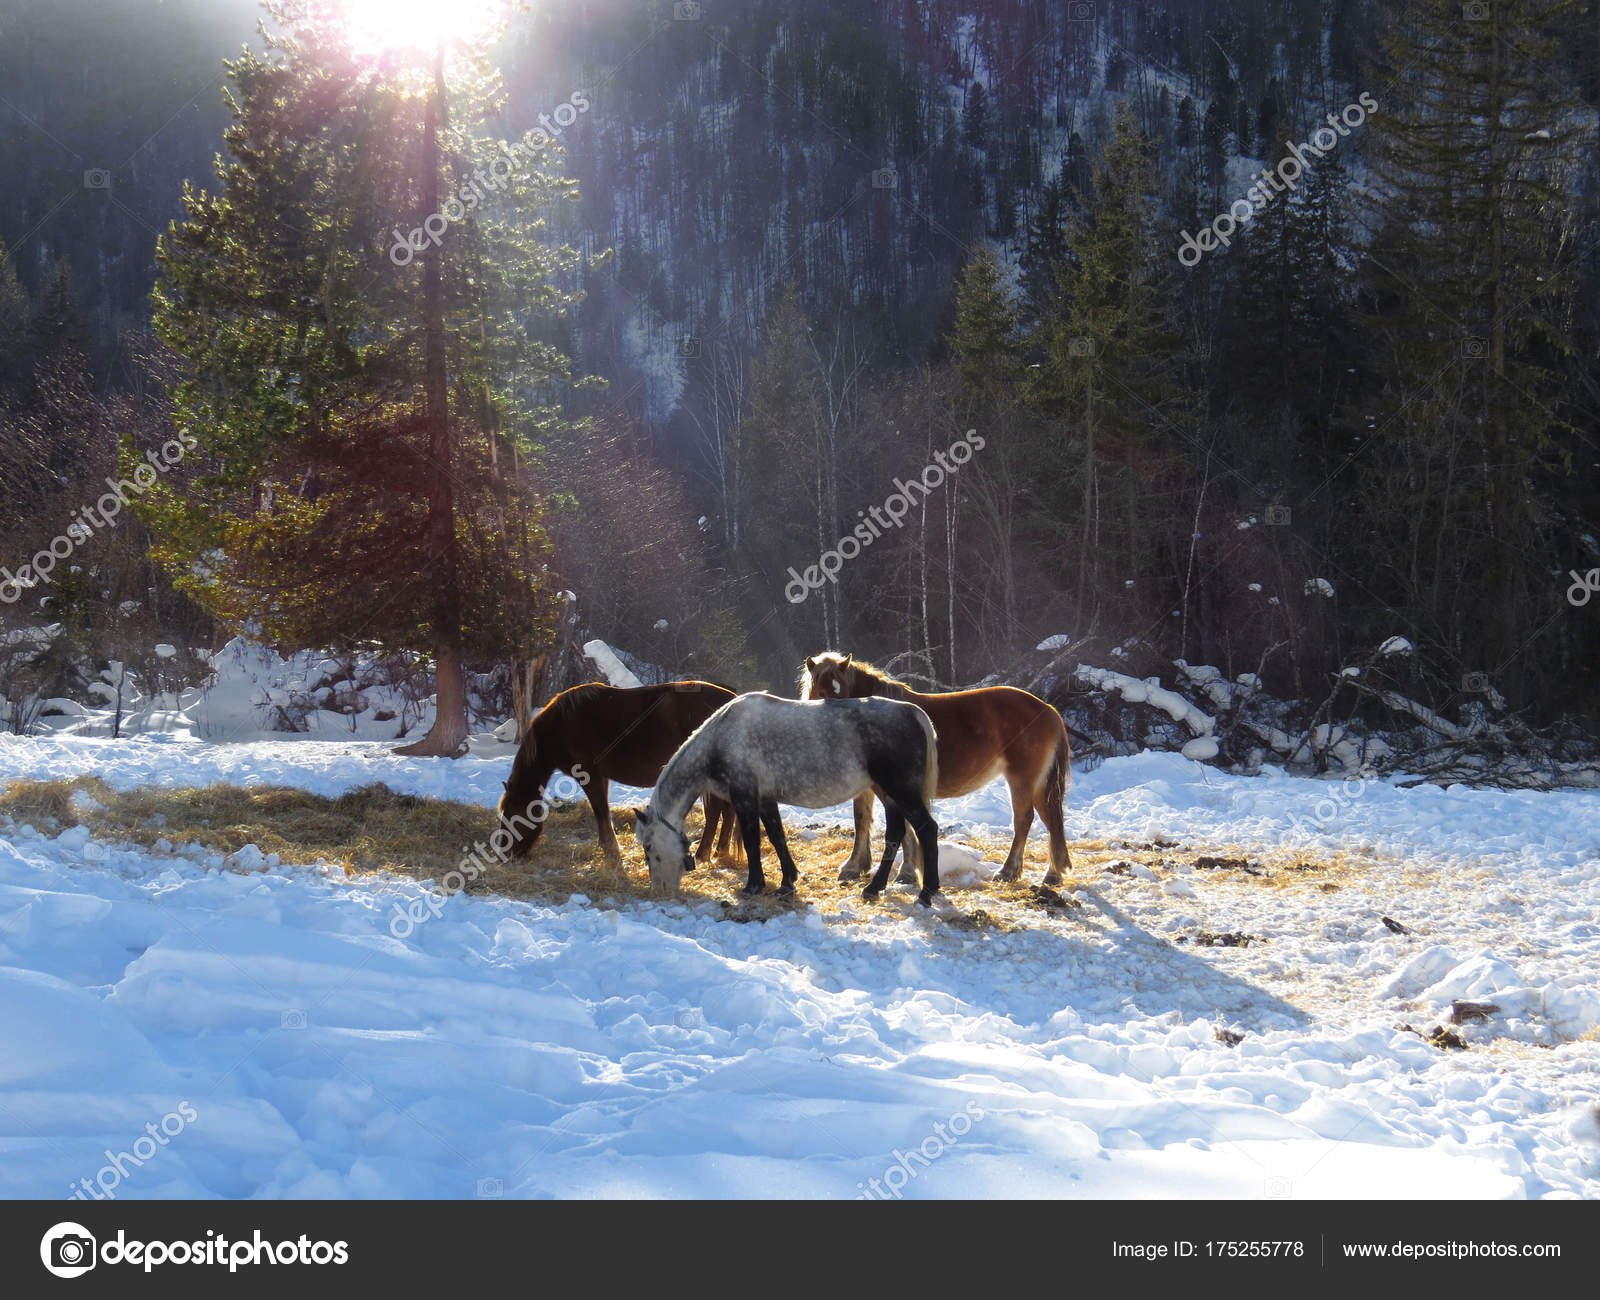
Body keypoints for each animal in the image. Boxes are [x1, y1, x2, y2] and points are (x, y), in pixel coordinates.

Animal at [499, 682, 742, 864]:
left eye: (511, 816)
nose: (505, 854)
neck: (560, 726)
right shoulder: (601, 777)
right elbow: (602, 812)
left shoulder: (590, 775)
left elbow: (601, 811)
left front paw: (611, 850)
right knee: (726, 811)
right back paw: (720, 853)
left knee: (716, 812)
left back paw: (704, 855)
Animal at [800, 650, 1075, 883]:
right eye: (821, 692)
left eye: (842, 690)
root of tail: (1047, 709)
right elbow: (862, 819)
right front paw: (855, 867)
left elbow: (903, 826)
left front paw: (907, 872)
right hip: (1039, 784)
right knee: (1051, 820)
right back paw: (1053, 873)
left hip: (1022, 780)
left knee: (1024, 820)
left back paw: (1008, 871)